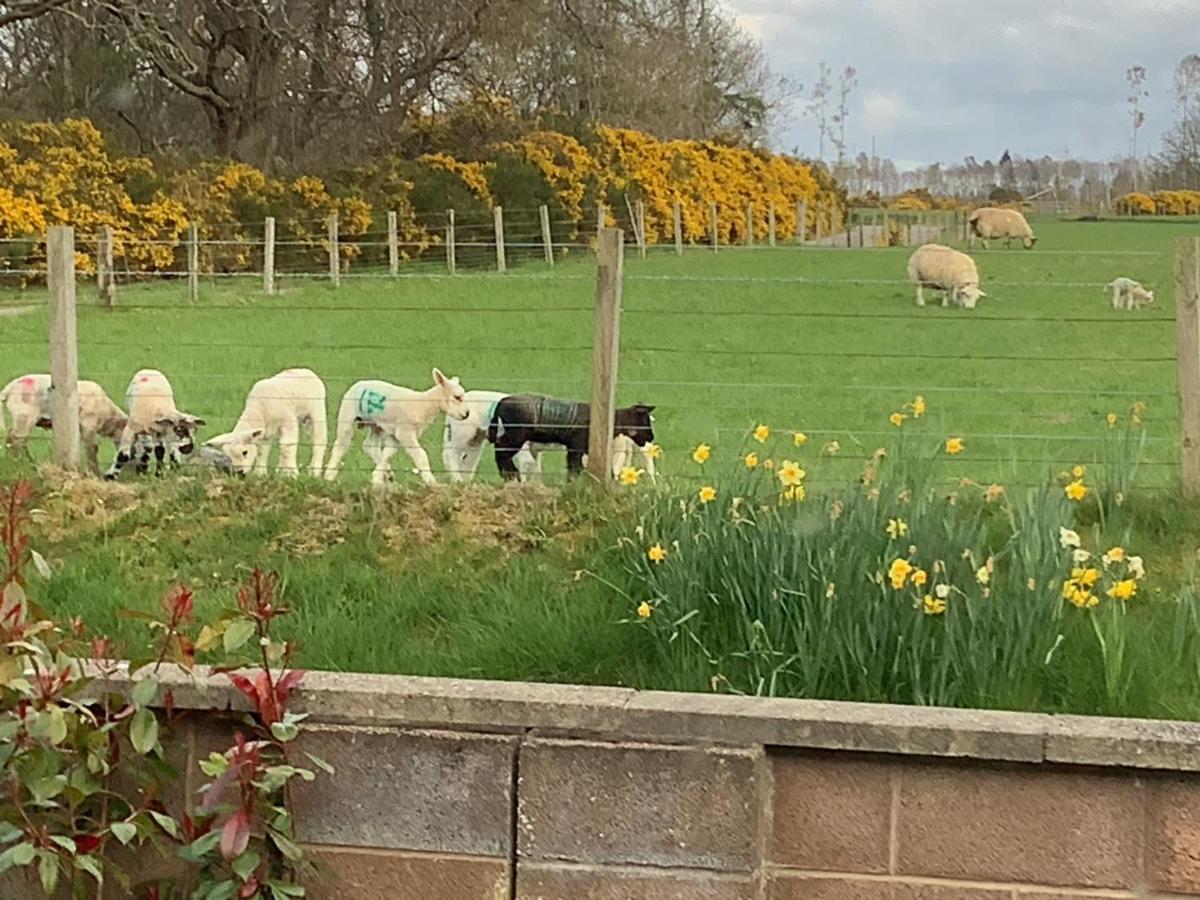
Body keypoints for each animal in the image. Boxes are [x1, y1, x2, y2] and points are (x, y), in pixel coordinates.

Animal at [0, 374, 129, 475]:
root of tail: (8, 389)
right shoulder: (88, 426)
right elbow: (93, 449)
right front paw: (95, 473)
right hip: (24, 415)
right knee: (17, 440)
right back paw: (25, 464)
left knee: (11, 438)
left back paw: (19, 463)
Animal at [324, 367, 468, 487]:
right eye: (457, 397)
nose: (467, 414)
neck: (424, 405)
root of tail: (357, 384)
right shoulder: (405, 432)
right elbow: (421, 455)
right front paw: (432, 482)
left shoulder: (396, 434)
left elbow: (387, 453)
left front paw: (377, 478)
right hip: (347, 416)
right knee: (340, 446)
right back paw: (329, 475)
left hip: (377, 425)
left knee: (369, 445)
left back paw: (388, 473)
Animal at [446, 388, 662, 482]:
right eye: (645, 422)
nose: (652, 438)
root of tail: (500, 404)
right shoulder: (575, 446)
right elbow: (574, 467)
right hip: (514, 434)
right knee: (502, 453)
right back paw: (512, 476)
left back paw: (511, 476)